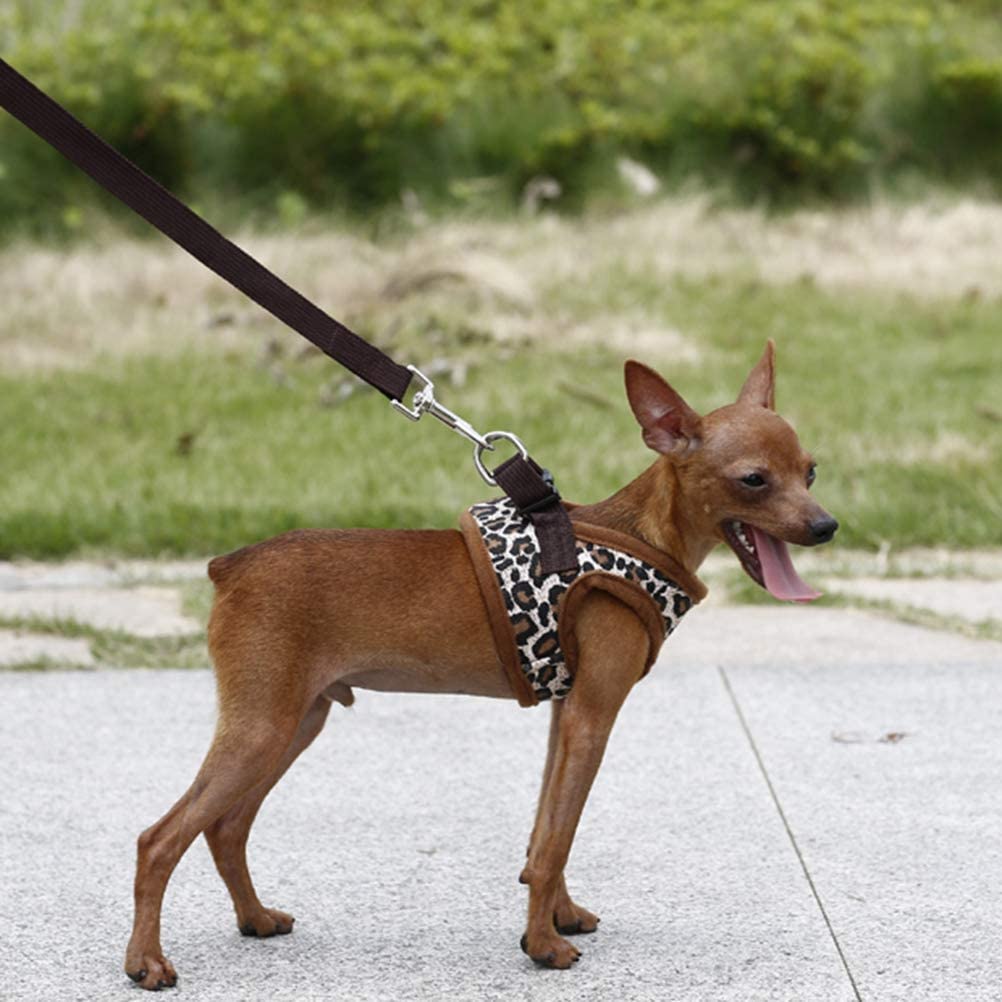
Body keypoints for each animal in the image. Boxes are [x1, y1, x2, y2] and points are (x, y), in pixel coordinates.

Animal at [125, 342, 837, 985]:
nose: (827, 526)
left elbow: (545, 831)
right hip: (261, 727)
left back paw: (255, 919)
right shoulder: (592, 717)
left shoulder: (564, 717)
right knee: (159, 840)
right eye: (754, 479)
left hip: (297, 721)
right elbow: (555, 839)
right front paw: (543, 947)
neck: (639, 535)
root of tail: (231, 565)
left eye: (810, 471)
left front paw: (558, 916)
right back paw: (146, 963)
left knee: (225, 828)